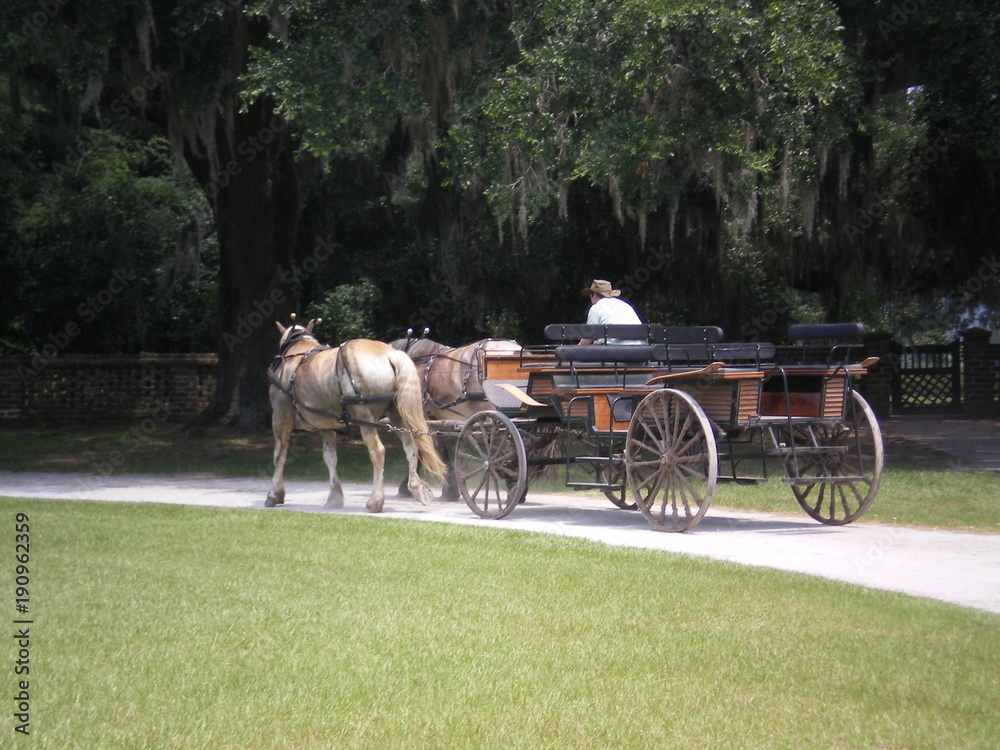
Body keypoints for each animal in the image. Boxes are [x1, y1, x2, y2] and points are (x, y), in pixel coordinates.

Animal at [266, 320, 442, 516]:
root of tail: (390, 354)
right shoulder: (326, 425)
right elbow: (330, 457)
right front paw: (334, 497)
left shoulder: (280, 417)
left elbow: (279, 455)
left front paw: (274, 495)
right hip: (397, 414)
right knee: (410, 446)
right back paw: (416, 488)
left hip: (366, 417)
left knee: (378, 452)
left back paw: (375, 501)